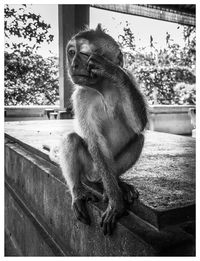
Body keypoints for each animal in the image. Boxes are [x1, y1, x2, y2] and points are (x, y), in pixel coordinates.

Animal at [58, 24, 148, 235]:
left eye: (83, 54)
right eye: (72, 53)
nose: (73, 65)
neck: (102, 87)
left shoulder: (130, 78)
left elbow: (138, 125)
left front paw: (114, 71)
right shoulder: (80, 96)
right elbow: (95, 142)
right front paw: (115, 202)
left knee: (138, 137)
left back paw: (117, 184)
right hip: (91, 168)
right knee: (72, 139)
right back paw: (81, 192)